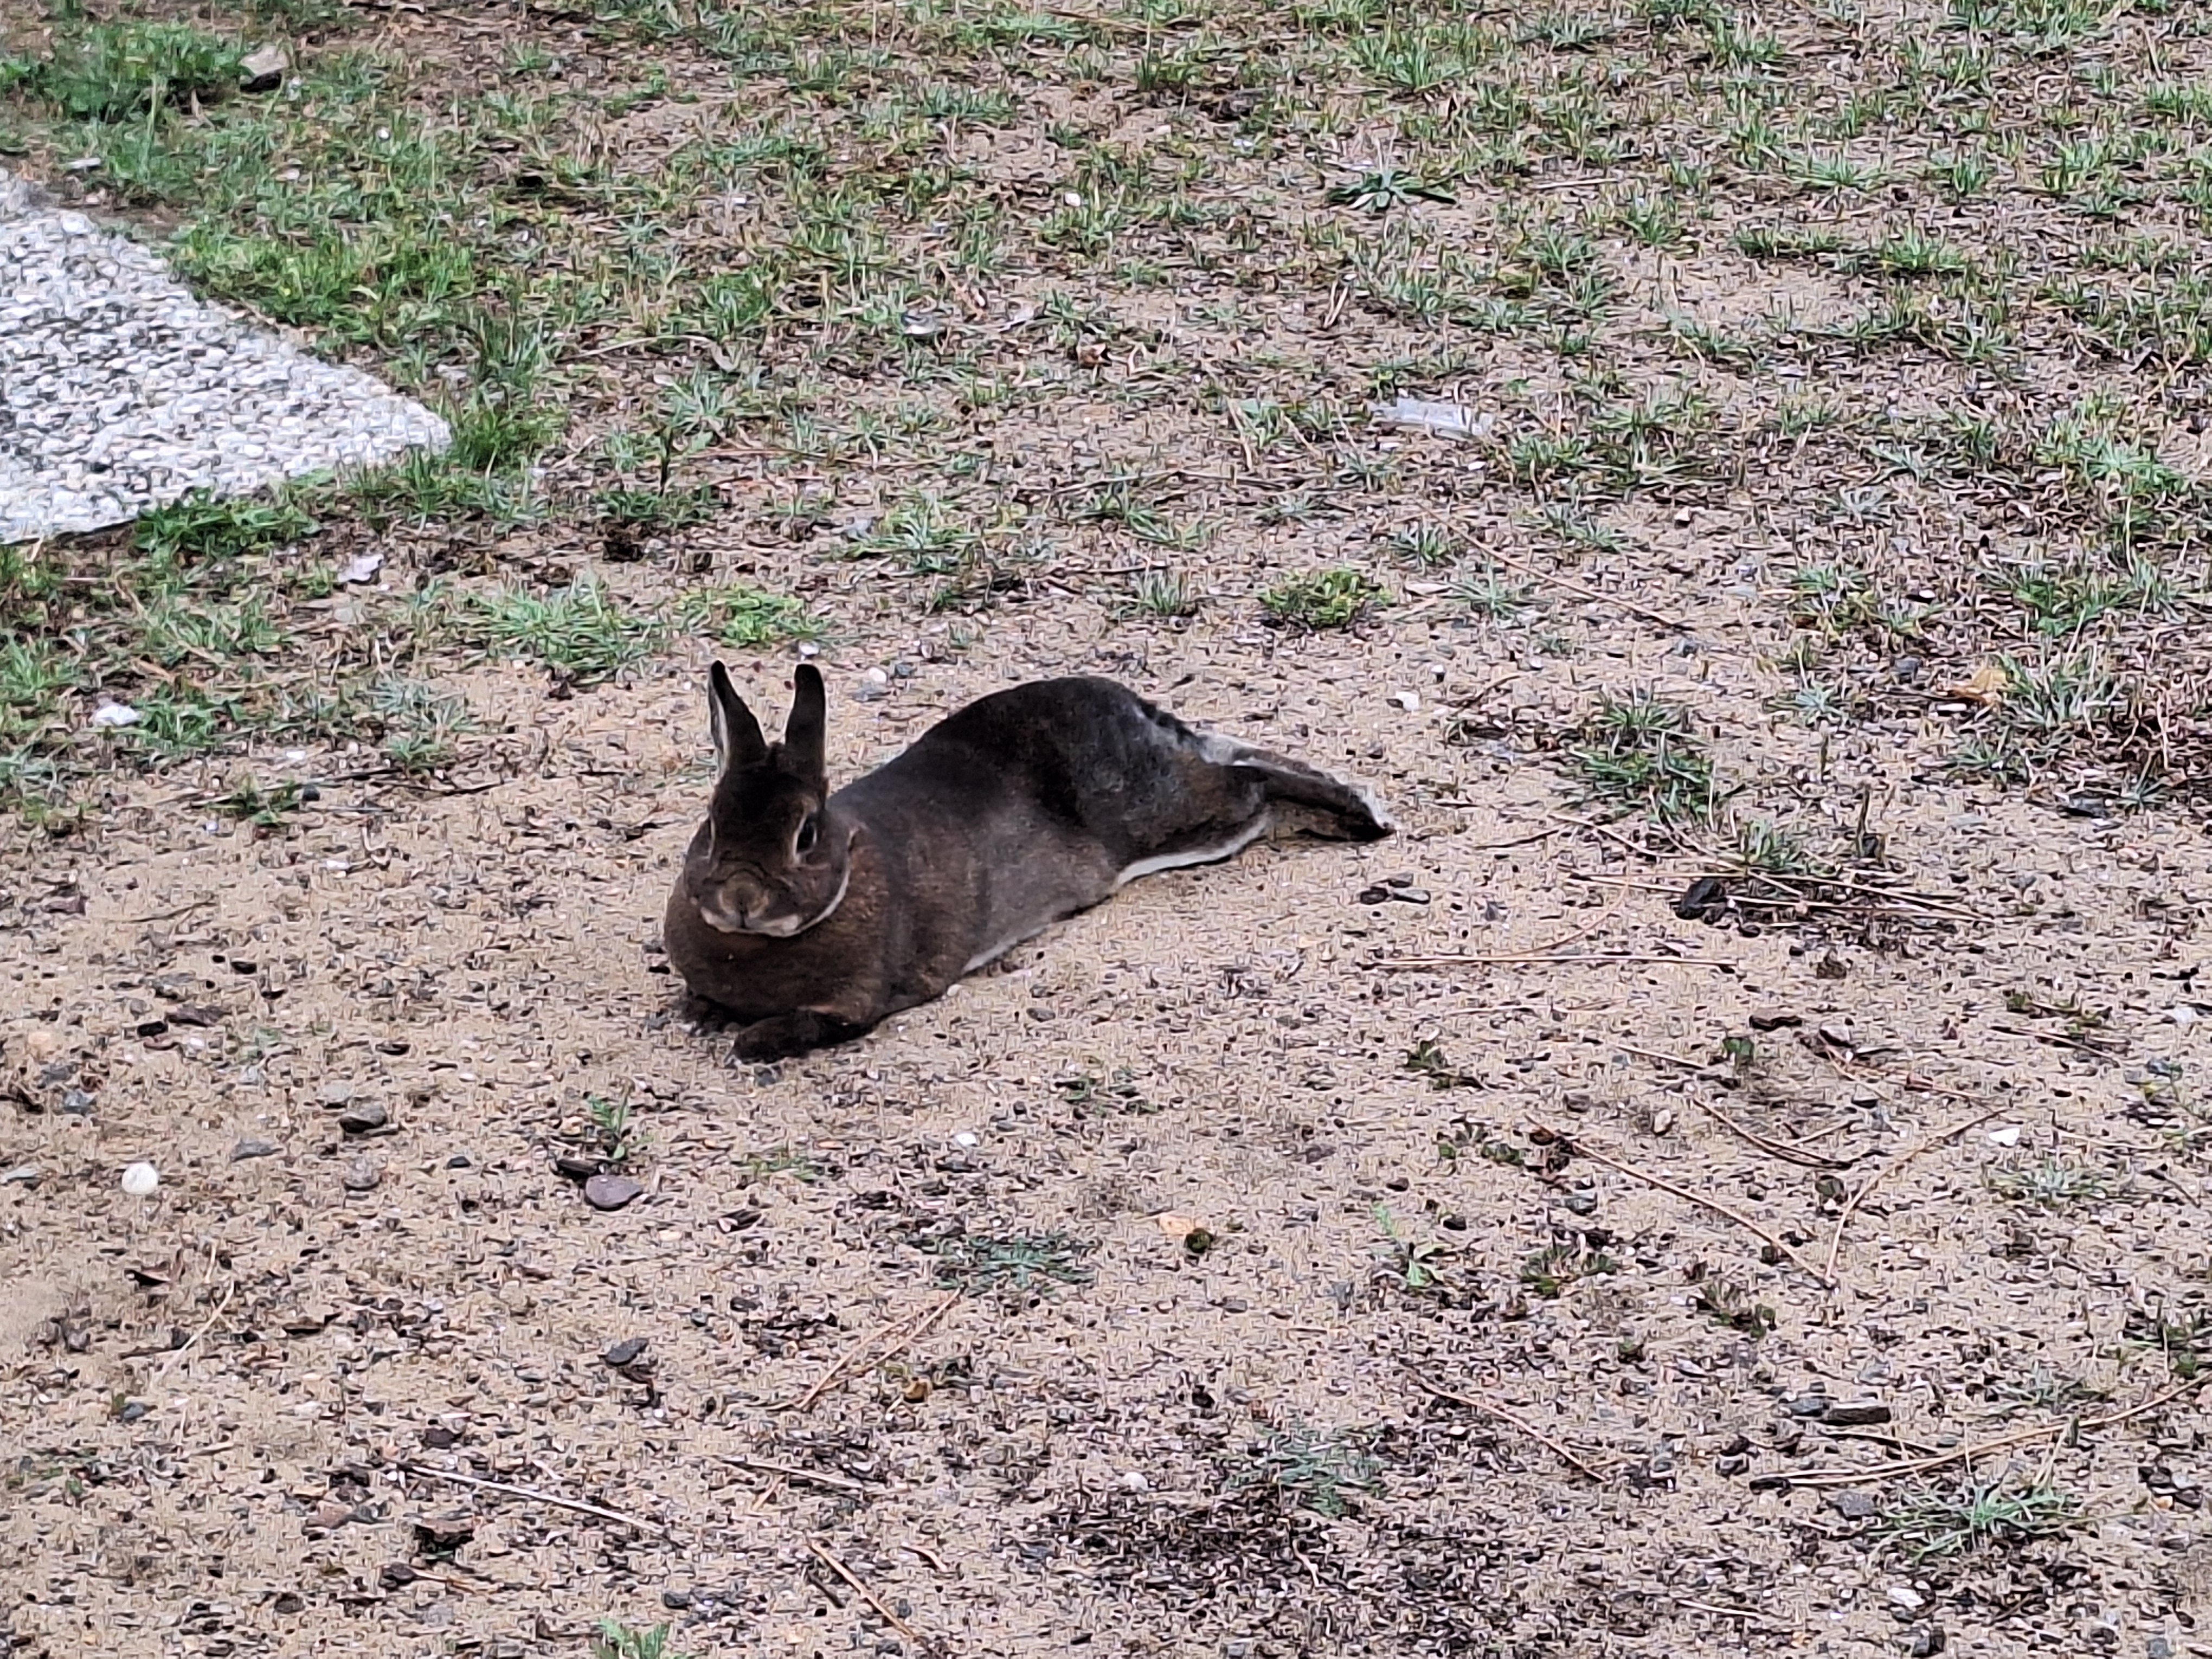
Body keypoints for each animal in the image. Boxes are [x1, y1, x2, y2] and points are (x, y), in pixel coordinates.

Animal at [663, 662, 1392, 1061]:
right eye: (712, 825)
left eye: (806, 835)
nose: (741, 899)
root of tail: (1136, 709)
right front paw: (696, 1013)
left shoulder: (857, 1003)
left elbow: (807, 1025)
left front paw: (749, 1042)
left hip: (1171, 815)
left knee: (1250, 785)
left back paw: (1361, 813)